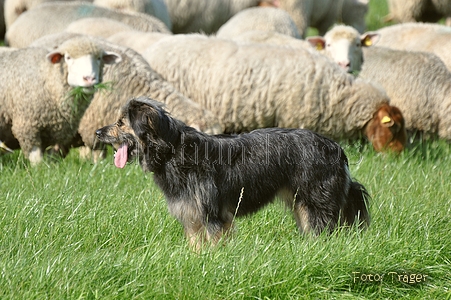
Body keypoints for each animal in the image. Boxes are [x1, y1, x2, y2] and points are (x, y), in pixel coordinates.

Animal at [0, 37, 122, 166]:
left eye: (99, 58)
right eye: (68, 58)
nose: (89, 78)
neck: (48, 79)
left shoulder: (55, 132)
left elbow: (50, 156)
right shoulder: (27, 126)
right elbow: (36, 157)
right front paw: (38, 169)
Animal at [95, 97, 370, 250]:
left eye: (120, 123)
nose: (97, 132)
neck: (172, 151)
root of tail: (336, 148)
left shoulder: (213, 214)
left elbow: (215, 245)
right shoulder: (193, 215)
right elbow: (197, 248)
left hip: (315, 203)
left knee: (323, 231)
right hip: (300, 204)